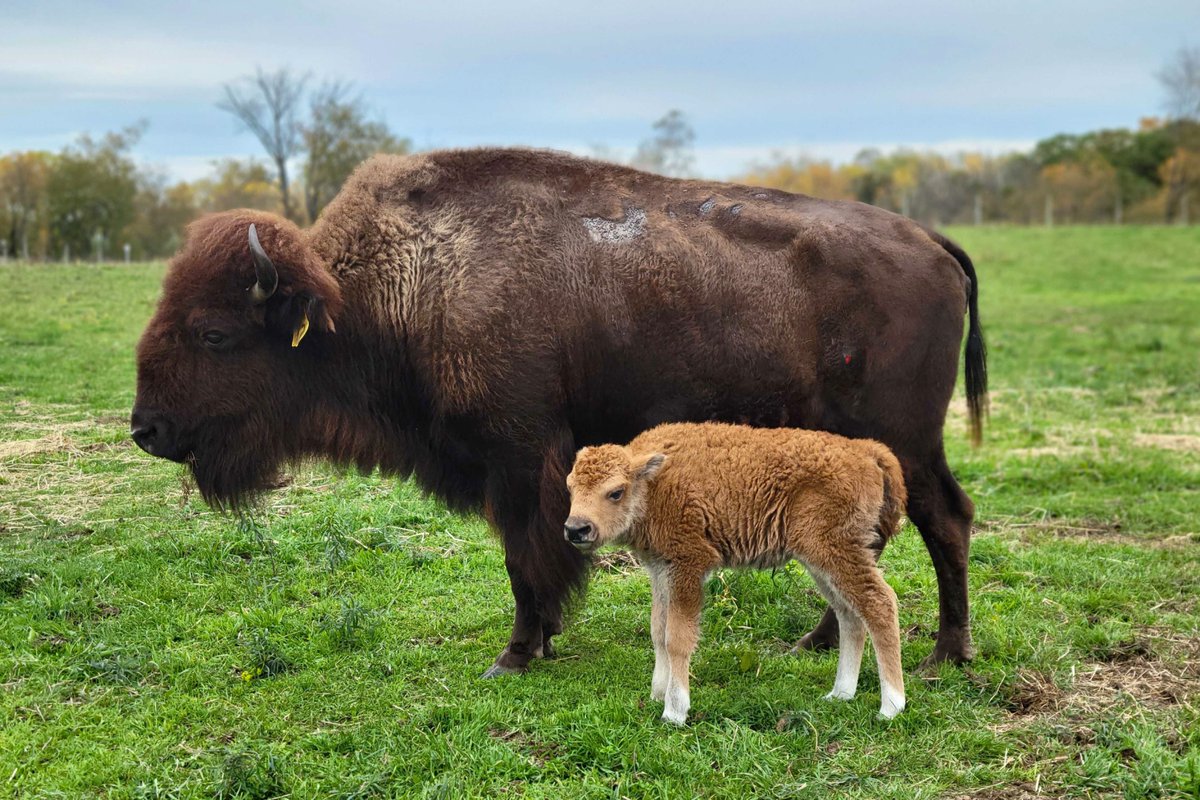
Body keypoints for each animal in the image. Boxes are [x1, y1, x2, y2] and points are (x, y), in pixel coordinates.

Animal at [133, 146, 984, 671]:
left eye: (213, 333)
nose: (147, 429)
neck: (408, 281)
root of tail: (929, 240)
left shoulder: (518, 459)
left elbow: (526, 555)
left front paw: (516, 652)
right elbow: (532, 553)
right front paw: (535, 643)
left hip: (904, 438)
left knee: (944, 519)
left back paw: (945, 654)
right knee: (863, 538)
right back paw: (820, 642)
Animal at [566, 424, 902, 724]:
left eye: (616, 492)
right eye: (570, 487)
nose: (576, 529)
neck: (653, 483)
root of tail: (866, 450)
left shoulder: (688, 565)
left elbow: (677, 638)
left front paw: (674, 711)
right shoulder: (661, 570)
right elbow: (658, 632)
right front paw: (656, 695)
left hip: (835, 551)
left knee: (880, 604)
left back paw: (891, 707)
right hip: (821, 561)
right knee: (849, 614)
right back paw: (841, 694)